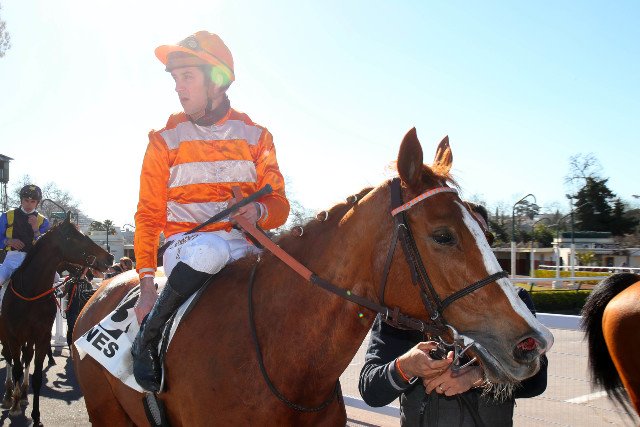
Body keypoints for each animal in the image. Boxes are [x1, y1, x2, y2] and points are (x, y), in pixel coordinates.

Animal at [0, 212, 113, 426]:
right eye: (74, 237)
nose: (109, 257)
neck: (30, 292)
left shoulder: (42, 336)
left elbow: (36, 375)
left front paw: (36, 415)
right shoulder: (14, 336)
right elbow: (16, 367)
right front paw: (15, 406)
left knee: (26, 358)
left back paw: (23, 393)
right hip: (7, 336)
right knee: (10, 359)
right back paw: (10, 394)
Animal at [73, 128, 553, 426]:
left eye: (484, 229)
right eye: (443, 235)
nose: (533, 341)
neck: (282, 360)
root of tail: (101, 288)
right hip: (106, 411)